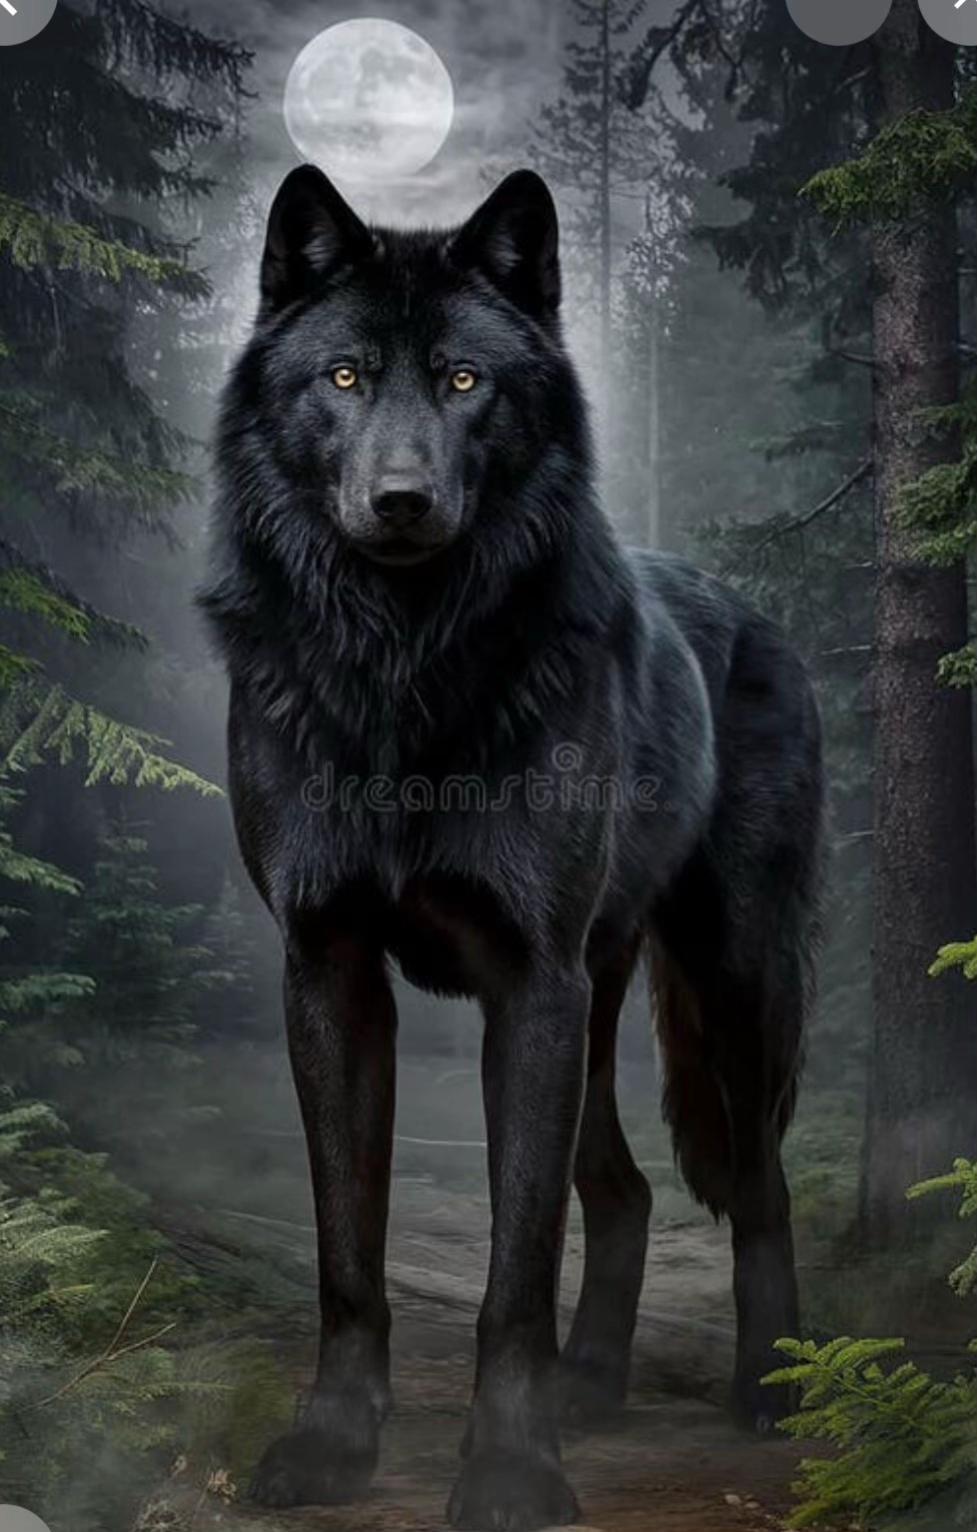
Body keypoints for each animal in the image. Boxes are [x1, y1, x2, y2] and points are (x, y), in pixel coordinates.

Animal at [200, 164, 824, 1531]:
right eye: (342, 377)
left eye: (461, 380)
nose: (400, 500)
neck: (400, 663)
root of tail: (749, 610)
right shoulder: (331, 970)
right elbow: (348, 1256)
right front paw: (330, 1446)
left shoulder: (527, 981)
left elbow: (514, 1273)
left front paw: (509, 1473)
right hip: (596, 1001)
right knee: (626, 1189)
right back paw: (592, 1386)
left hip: (726, 984)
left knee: (759, 1186)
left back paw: (771, 1386)